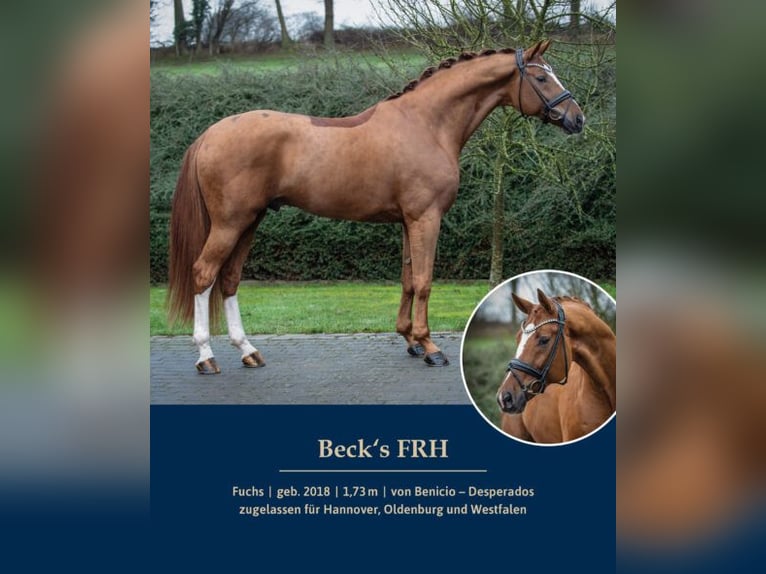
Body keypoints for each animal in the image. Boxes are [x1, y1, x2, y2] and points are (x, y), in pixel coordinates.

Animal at [167, 40, 584, 374]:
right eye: (541, 78)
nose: (577, 118)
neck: (426, 124)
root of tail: (209, 134)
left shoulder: (406, 221)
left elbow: (407, 278)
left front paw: (410, 341)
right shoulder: (426, 218)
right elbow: (424, 281)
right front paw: (430, 347)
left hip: (249, 222)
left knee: (229, 279)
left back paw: (248, 351)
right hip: (229, 223)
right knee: (204, 275)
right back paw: (206, 357)